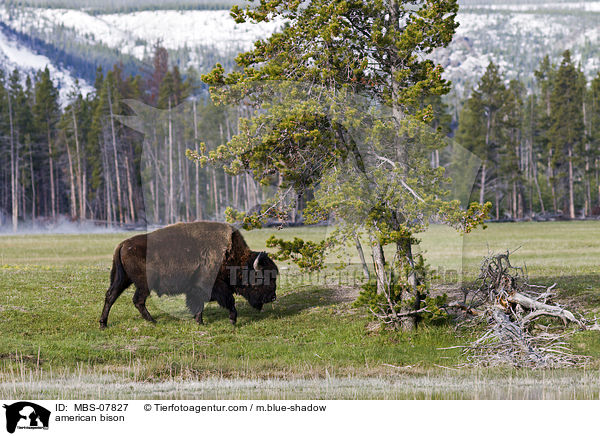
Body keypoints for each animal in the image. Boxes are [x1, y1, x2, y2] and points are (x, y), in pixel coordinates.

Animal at [98, 221, 278, 328]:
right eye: (263, 277)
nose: (273, 297)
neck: (231, 256)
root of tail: (123, 244)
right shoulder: (213, 286)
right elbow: (228, 301)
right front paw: (232, 320)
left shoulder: (197, 290)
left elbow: (198, 304)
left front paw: (199, 322)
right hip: (143, 284)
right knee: (137, 300)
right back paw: (153, 321)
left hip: (123, 279)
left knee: (111, 296)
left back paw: (103, 323)